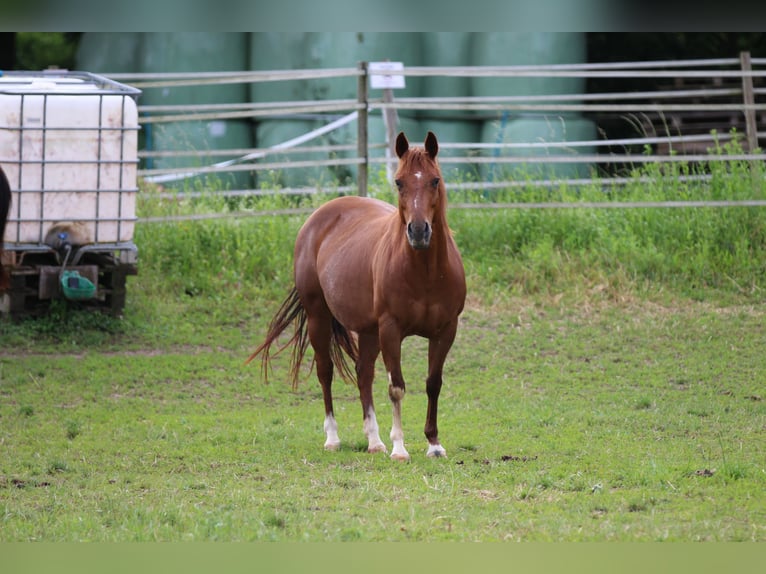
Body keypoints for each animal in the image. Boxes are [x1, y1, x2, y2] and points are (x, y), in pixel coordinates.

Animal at [249, 132, 472, 464]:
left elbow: (433, 384)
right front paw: (400, 448)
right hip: (319, 317)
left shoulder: (445, 330)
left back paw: (374, 441)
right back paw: (333, 438)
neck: (425, 273)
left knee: (363, 374)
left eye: (435, 180)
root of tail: (318, 218)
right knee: (325, 371)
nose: (419, 231)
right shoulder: (391, 330)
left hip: (369, 332)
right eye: (399, 182)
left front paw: (433, 444)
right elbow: (396, 387)